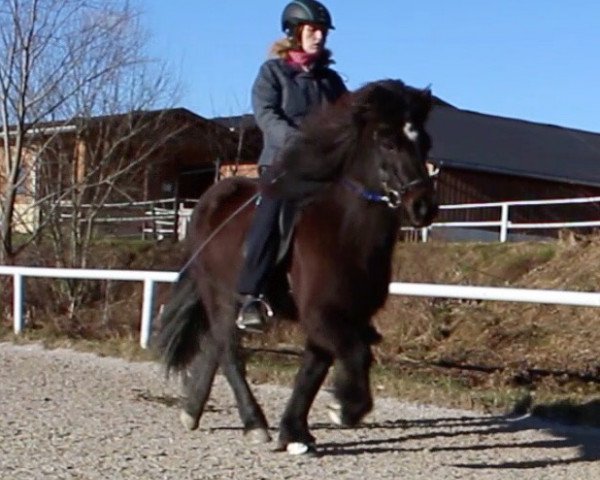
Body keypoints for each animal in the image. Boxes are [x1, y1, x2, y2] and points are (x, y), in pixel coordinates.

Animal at [154, 79, 436, 454]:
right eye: (388, 141)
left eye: (426, 142)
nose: (424, 207)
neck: (344, 229)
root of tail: (209, 201)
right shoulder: (321, 313)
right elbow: (356, 354)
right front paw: (344, 408)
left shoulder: (344, 315)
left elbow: (315, 368)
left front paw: (295, 432)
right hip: (220, 293)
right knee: (228, 351)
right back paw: (253, 423)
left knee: (215, 346)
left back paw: (192, 412)